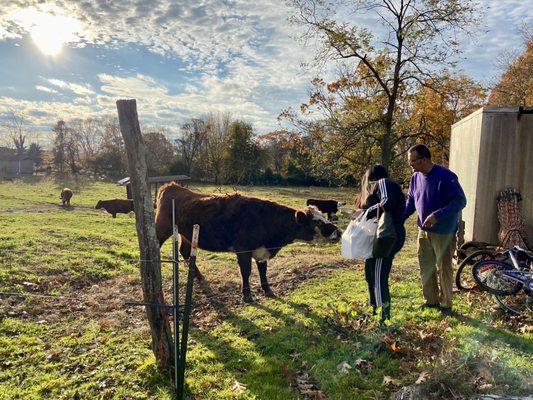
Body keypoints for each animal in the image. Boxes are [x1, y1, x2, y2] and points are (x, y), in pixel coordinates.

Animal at [154, 183, 340, 302]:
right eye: (317, 222)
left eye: (323, 217)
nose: (338, 232)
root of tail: (172, 186)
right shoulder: (243, 250)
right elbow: (246, 271)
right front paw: (247, 295)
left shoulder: (262, 251)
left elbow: (263, 271)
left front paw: (268, 290)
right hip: (162, 228)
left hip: (188, 234)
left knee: (184, 251)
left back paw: (198, 276)